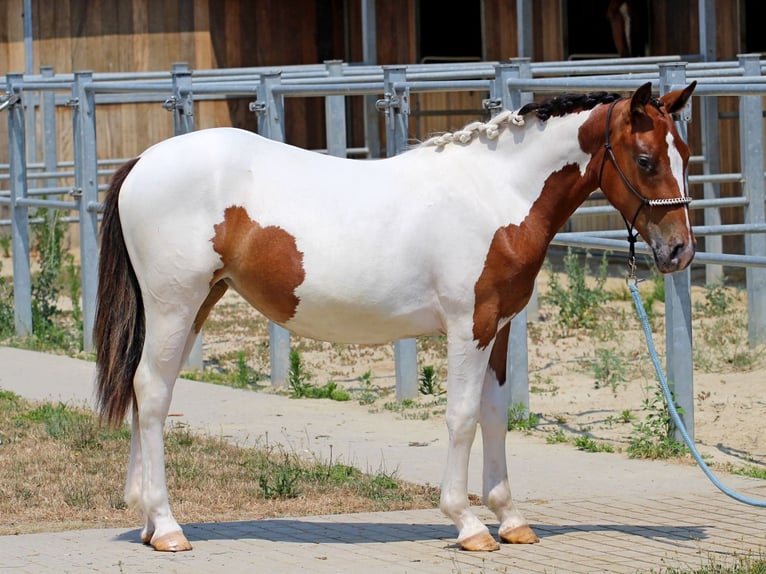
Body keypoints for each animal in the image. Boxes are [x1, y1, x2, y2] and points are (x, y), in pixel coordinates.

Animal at [94, 80, 697, 552]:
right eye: (646, 160)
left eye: (686, 155)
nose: (679, 251)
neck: (495, 195)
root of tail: (144, 162)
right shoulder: (469, 326)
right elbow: (462, 418)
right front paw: (468, 523)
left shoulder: (499, 328)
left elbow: (495, 415)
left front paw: (510, 518)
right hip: (175, 304)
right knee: (152, 392)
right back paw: (167, 526)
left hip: (196, 304)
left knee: (149, 389)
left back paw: (148, 521)